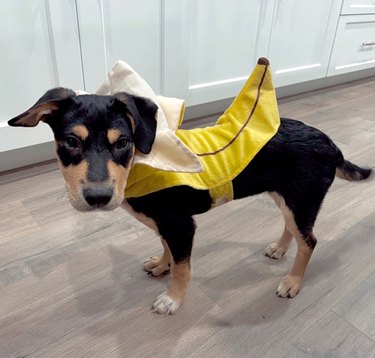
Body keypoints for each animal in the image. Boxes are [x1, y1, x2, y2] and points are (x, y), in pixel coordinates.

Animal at [8, 88, 374, 314]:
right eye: (70, 141)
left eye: (123, 142)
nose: (98, 197)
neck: (141, 164)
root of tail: (331, 143)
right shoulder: (167, 225)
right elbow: (169, 251)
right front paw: (161, 264)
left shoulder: (181, 225)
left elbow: (183, 268)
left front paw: (173, 300)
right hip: (287, 196)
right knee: (293, 229)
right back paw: (280, 248)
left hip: (302, 199)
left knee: (310, 241)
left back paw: (293, 282)